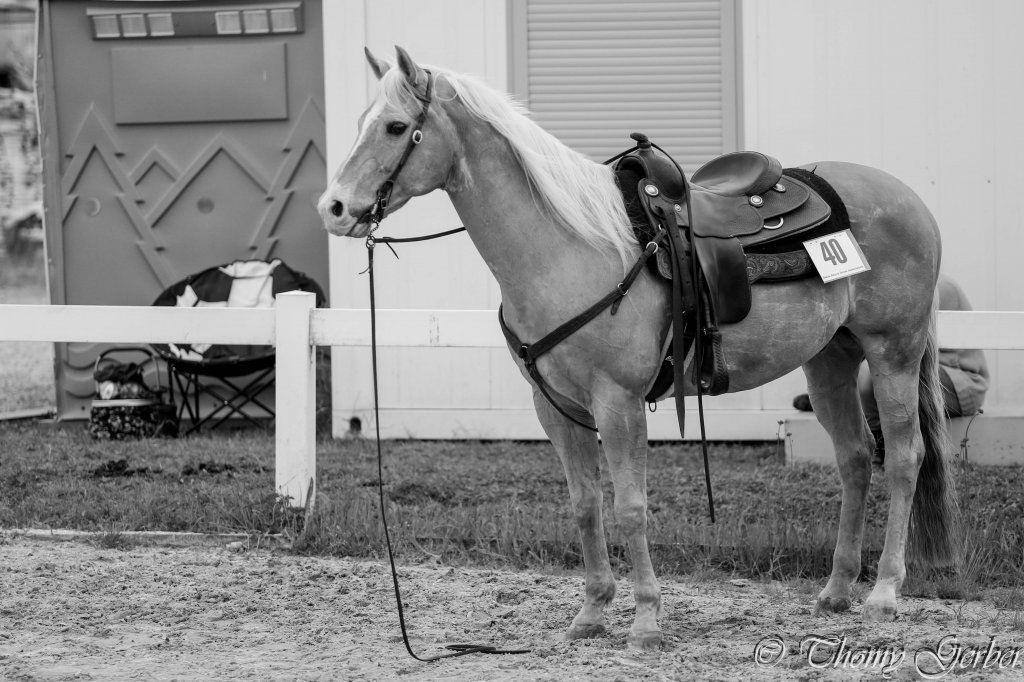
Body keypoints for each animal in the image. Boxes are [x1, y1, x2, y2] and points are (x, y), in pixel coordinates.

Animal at [319, 46, 954, 651]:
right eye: (362, 121)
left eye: (396, 127)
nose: (334, 209)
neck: (568, 249)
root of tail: (909, 199)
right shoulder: (553, 407)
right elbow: (584, 505)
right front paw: (590, 614)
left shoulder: (618, 402)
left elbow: (629, 506)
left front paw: (646, 622)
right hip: (829, 360)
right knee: (855, 457)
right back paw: (837, 590)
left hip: (893, 353)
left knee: (904, 457)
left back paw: (884, 593)